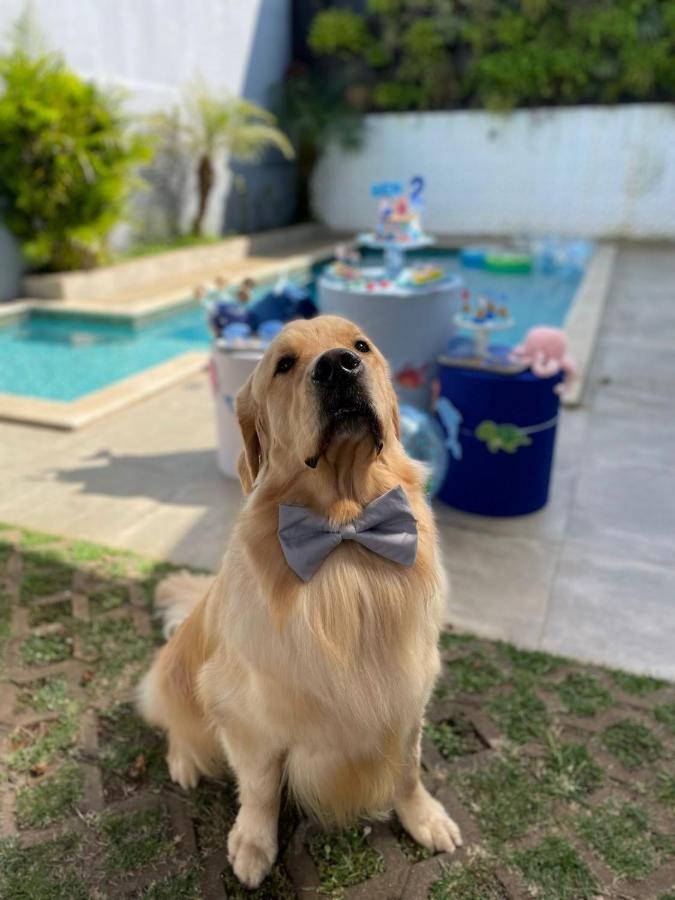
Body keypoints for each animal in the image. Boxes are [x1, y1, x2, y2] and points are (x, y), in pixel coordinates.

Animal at [139, 314, 462, 884]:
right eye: (284, 364)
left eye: (361, 345)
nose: (338, 366)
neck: (345, 530)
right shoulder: (245, 712)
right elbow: (261, 788)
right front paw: (253, 843)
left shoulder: (407, 691)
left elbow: (406, 769)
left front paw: (423, 818)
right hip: (177, 674)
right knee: (174, 720)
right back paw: (182, 760)